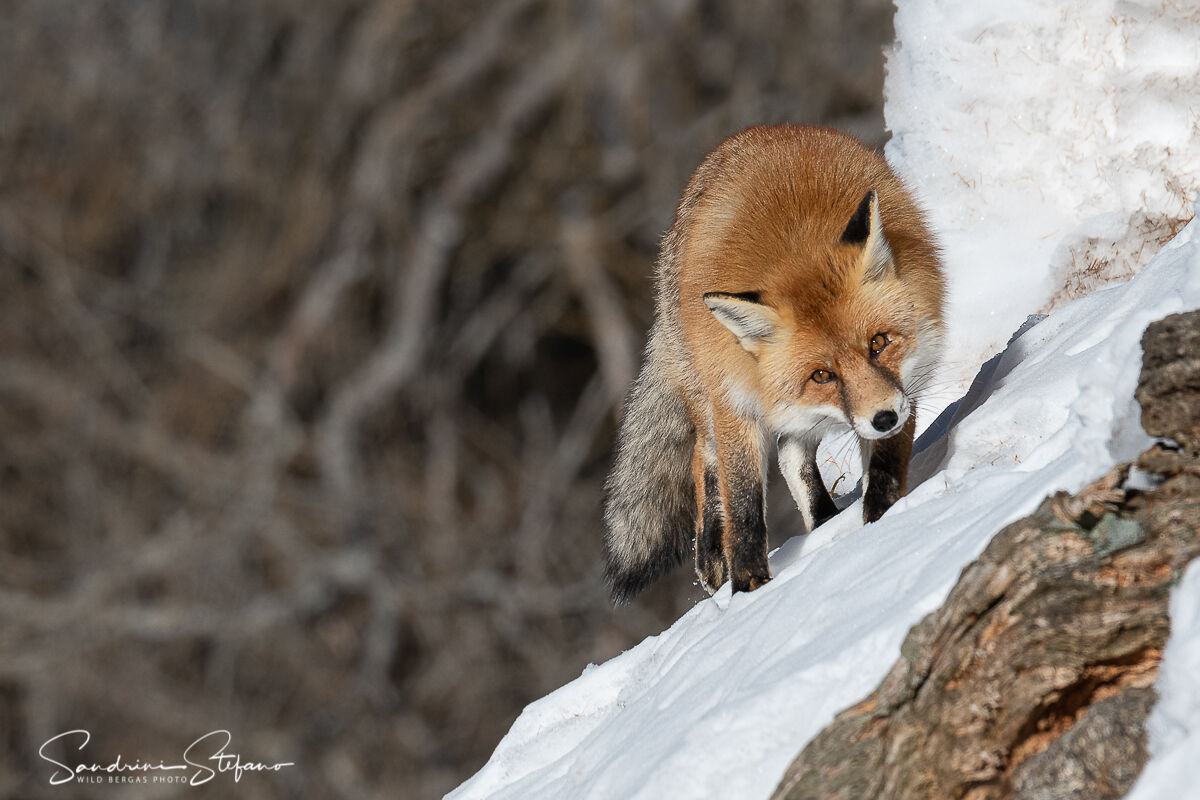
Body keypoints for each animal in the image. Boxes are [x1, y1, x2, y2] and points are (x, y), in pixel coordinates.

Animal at [603, 124, 946, 604]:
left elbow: (886, 464)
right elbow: (744, 502)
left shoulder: (905, 385)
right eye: (822, 375)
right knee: (704, 459)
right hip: (710, 402)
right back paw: (713, 559)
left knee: (789, 454)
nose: (883, 417)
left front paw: (882, 518)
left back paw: (823, 521)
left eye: (879, 344)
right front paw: (750, 584)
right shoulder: (734, 399)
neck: (794, 245)